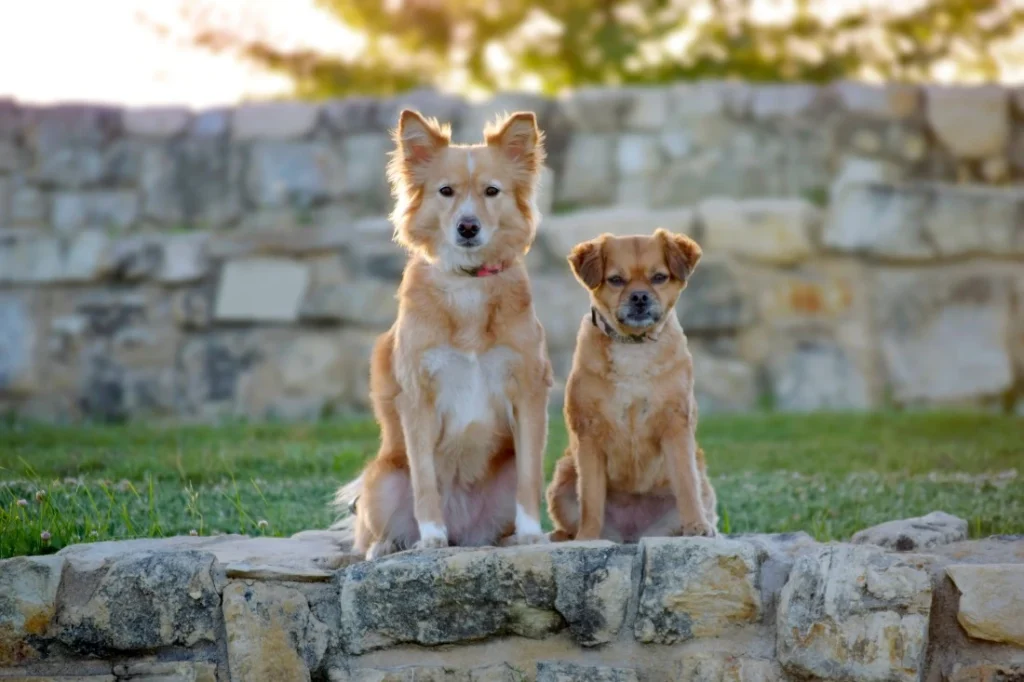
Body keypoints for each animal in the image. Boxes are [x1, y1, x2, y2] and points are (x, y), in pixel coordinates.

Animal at [333, 107, 552, 557]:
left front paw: (530, 533)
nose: (467, 227)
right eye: (446, 191)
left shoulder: (528, 391)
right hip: (381, 479)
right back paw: (388, 547)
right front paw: (432, 537)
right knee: (373, 533)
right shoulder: (417, 397)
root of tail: (465, 536)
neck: (467, 282)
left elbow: (529, 478)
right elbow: (424, 481)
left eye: (492, 191)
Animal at [544, 228, 720, 540]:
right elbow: (590, 497)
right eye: (616, 280)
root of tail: (632, 534)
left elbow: (686, 483)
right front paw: (588, 538)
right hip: (562, 478)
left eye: (659, 277)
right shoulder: (589, 434)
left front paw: (697, 526)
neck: (634, 346)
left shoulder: (676, 426)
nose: (639, 297)